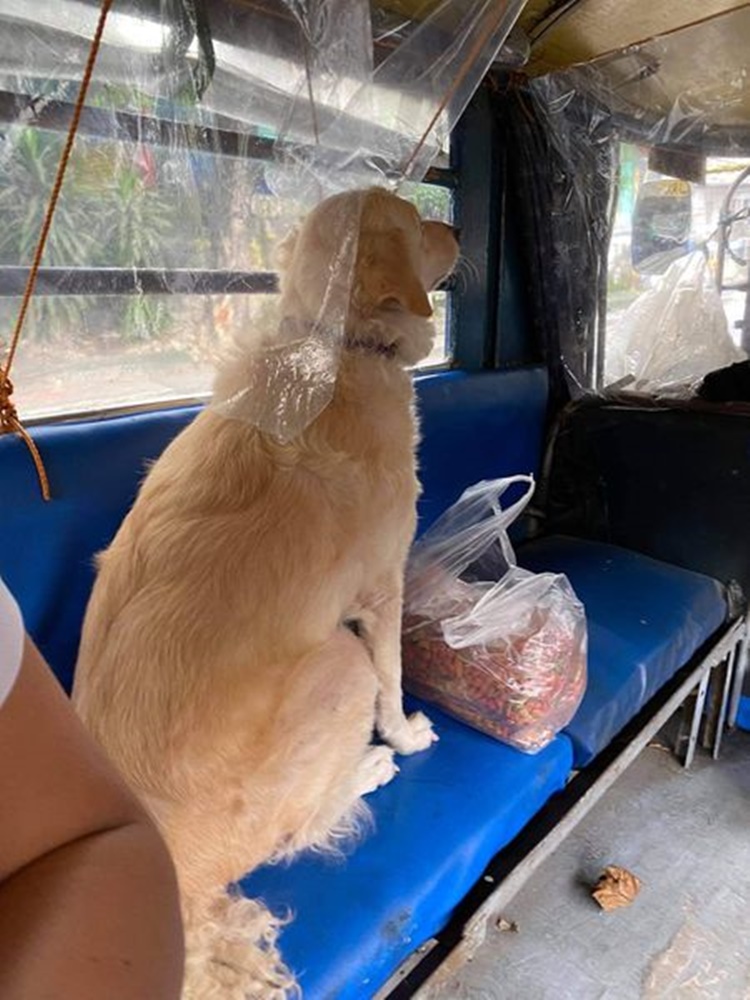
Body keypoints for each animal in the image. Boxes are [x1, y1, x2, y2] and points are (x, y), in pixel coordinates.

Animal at [72, 186, 458, 992]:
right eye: (416, 222)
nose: (461, 228)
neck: (337, 346)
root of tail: (181, 892)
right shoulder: (381, 591)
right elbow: (394, 679)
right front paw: (404, 736)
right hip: (338, 663)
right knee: (300, 828)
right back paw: (370, 766)